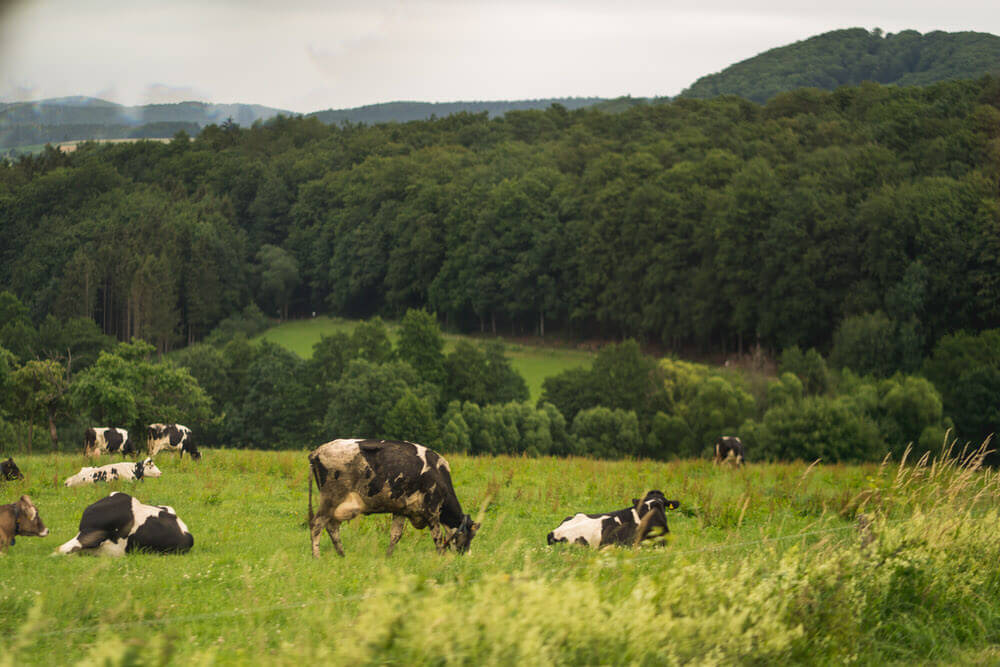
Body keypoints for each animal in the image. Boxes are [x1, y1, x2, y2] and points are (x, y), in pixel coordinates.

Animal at [310, 438, 482, 560]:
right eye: (469, 536)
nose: (467, 556)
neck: (439, 473)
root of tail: (318, 451)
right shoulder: (432, 510)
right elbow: (437, 537)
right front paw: (440, 556)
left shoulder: (402, 510)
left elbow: (396, 535)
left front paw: (388, 556)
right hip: (330, 499)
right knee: (317, 525)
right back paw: (317, 556)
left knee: (332, 527)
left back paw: (341, 554)